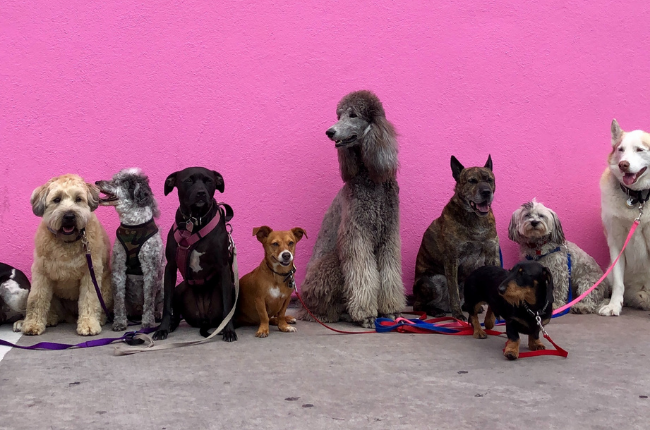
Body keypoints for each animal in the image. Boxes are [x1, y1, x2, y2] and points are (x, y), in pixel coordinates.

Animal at [17, 175, 111, 336]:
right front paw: (32, 324)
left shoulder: (91, 274)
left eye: (78, 199)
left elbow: (89, 299)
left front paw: (88, 325)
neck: (67, 241)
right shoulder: (41, 273)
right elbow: (36, 299)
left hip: (107, 287)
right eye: (56, 199)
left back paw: (100, 319)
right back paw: (50, 318)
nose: (69, 216)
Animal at [95, 168, 163, 330]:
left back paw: (157, 314)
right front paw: (119, 322)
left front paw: (147, 322)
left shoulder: (150, 268)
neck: (133, 225)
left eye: (119, 182)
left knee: (158, 303)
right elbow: (119, 299)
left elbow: (149, 300)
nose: (97, 182)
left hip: (162, 285)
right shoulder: (119, 267)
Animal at [294, 89, 404, 328]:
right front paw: (366, 315)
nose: (330, 131)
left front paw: (391, 310)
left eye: (353, 115)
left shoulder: (388, 235)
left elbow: (390, 273)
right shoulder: (356, 236)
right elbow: (363, 274)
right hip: (331, 264)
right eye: (339, 115)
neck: (371, 180)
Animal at [412, 156, 498, 320]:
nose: (486, 192)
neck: (475, 219)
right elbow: (454, 293)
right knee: (418, 306)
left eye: (490, 180)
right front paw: (458, 314)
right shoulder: (452, 258)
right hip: (432, 281)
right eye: (472, 181)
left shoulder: (492, 255)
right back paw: (435, 310)